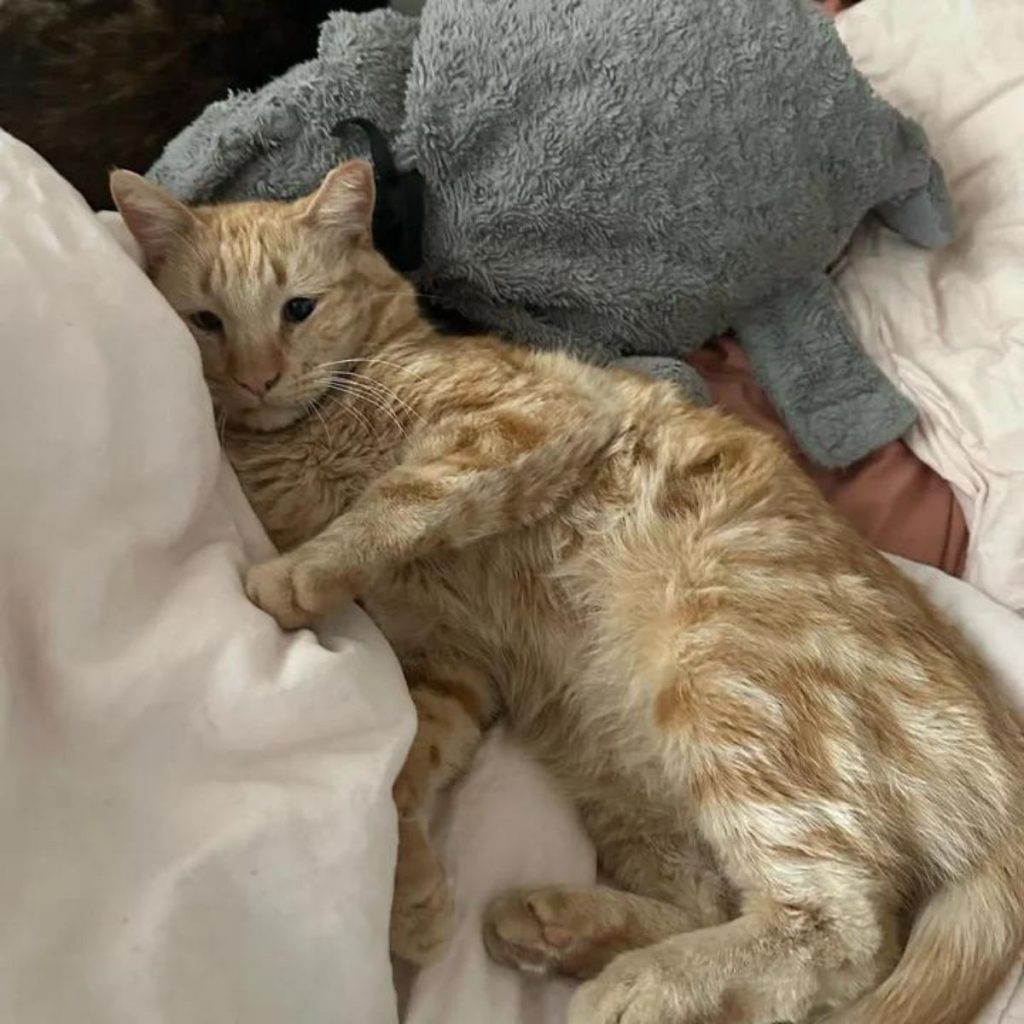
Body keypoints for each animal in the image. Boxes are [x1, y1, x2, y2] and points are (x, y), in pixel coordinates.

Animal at [112, 159, 1024, 1024]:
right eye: (205, 322)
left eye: (298, 308)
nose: (258, 378)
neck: (315, 437)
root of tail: (1005, 758)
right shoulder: (447, 663)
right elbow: (406, 770)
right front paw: (409, 895)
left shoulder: (525, 420)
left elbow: (400, 500)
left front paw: (301, 573)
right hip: (629, 784)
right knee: (719, 904)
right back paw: (566, 931)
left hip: (731, 688)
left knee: (843, 932)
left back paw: (639, 985)